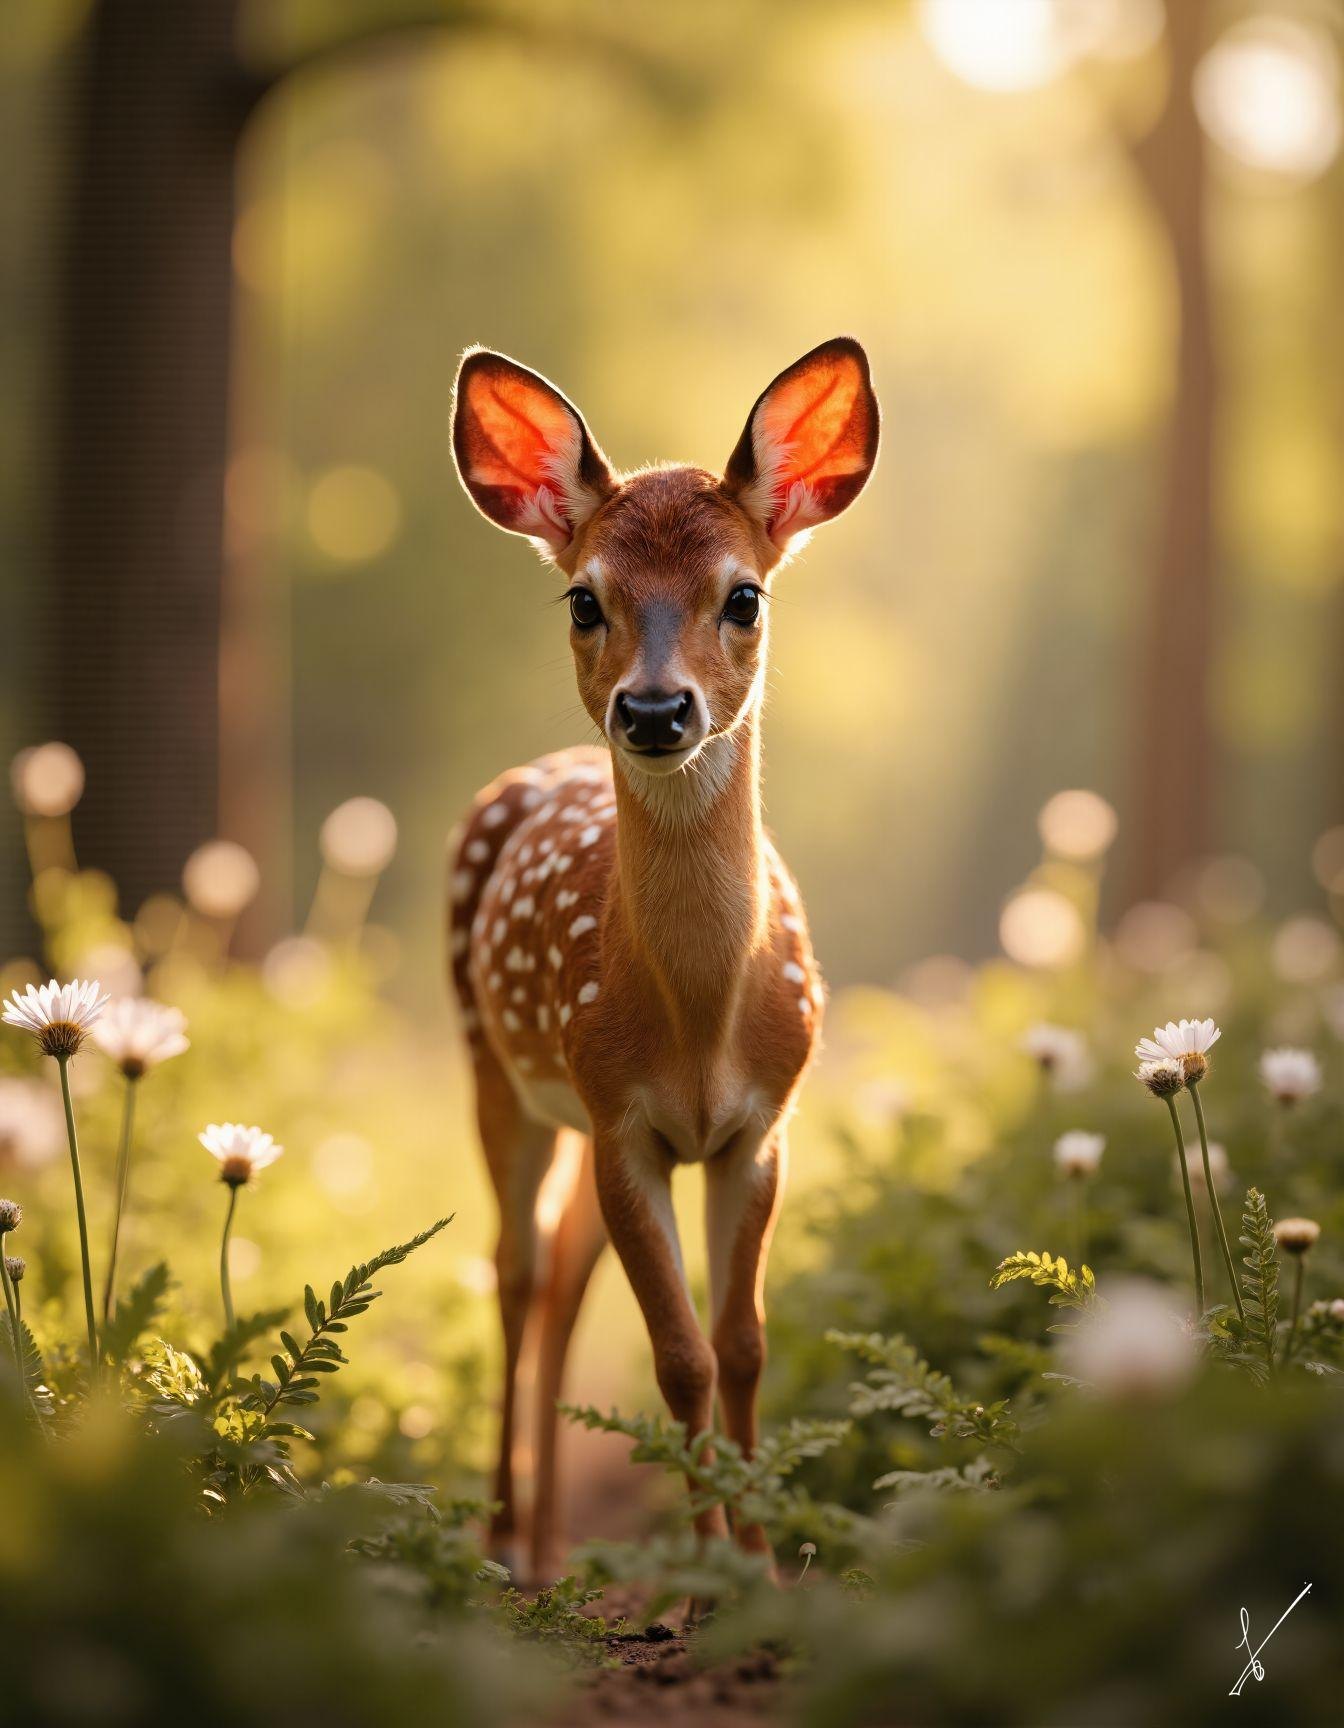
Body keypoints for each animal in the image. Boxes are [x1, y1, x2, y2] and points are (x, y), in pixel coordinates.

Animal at [447, 338, 880, 1579]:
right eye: (584, 598)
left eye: (745, 595)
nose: (652, 710)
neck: (695, 1021)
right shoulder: (620, 1117)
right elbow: (678, 1356)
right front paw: (707, 1586)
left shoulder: (758, 1125)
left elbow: (740, 1345)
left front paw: (763, 1567)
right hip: (496, 1067)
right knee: (515, 1269)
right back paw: (507, 1543)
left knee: (558, 1279)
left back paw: (548, 1544)